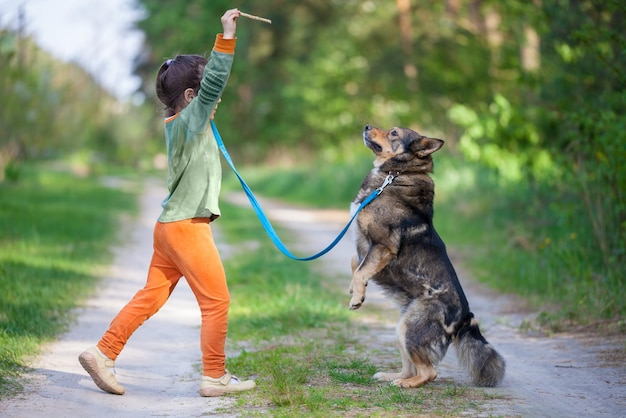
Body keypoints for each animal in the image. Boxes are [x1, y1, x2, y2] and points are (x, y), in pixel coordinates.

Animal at [348, 124, 504, 388]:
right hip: (403, 328)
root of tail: (465, 316)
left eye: (394, 133)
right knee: (410, 368)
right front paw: (354, 287)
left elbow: (360, 271)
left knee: (429, 372)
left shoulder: (383, 245)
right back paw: (391, 376)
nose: (367, 126)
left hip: (412, 331)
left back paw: (405, 384)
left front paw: (357, 296)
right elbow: (356, 264)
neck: (396, 175)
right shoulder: (367, 247)